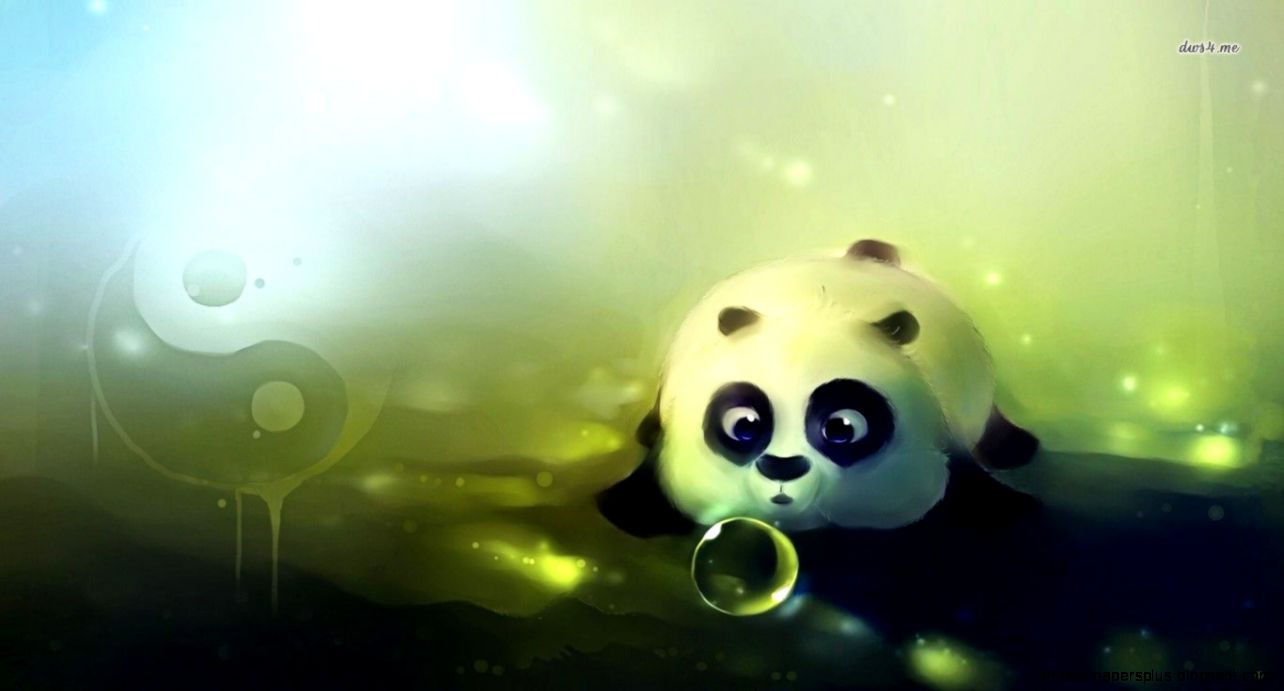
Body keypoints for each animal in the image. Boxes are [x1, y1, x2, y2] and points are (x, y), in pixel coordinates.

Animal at [598, 239, 1038, 537]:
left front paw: (1007, 508)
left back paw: (1016, 449)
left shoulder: (938, 432)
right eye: (744, 425)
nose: (782, 467)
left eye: (841, 427)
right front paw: (627, 511)